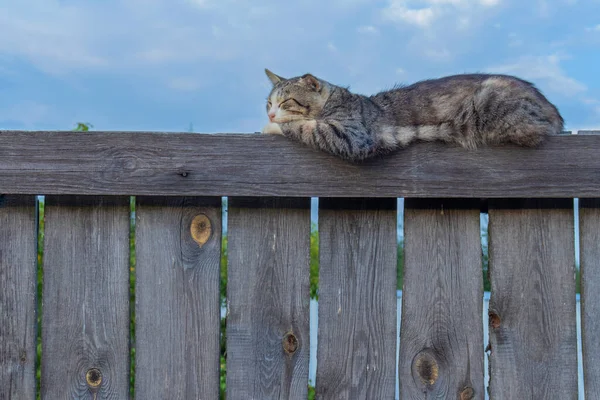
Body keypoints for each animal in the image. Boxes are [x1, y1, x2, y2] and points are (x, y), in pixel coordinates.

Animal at [262, 69, 564, 161]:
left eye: (286, 102)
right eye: (268, 103)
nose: (271, 115)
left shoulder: (353, 136)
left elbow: (304, 126)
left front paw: (273, 128)